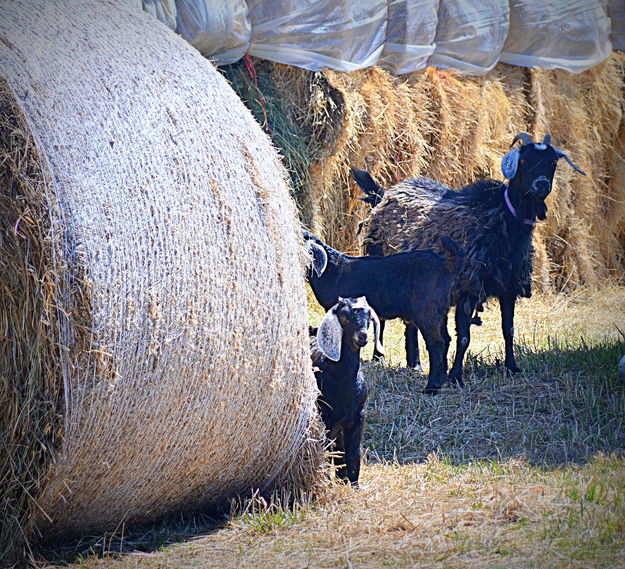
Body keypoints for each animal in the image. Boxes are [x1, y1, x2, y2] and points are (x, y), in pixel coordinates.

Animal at [304, 230, 476, 390]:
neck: (333, 271)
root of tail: (448, 266)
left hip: (427, 311)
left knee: (436, 343)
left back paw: (432, 386)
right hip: (440, 311)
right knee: (446, 339)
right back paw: (443, 378)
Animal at [308, 296, 378, 486]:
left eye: (369, 316)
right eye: (344, 318)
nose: (362, 337)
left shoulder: (357, 417)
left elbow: (353, 454)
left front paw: (354, 485)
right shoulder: (325, 418)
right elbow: (324, 452)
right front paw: (327, 482)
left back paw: (342, 478)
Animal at [356, 131, 584, 384]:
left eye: (553, 162)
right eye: (524, 160)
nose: (541, 184)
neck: (502, 221)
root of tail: (385, 195)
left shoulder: (509, 287)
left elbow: (509, 330)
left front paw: (512, 367)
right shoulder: (469, 288)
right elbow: (464, 337)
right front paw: (455, 375)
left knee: (410, 322)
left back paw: (415, 363)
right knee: (382, 314)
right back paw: (379, 357)